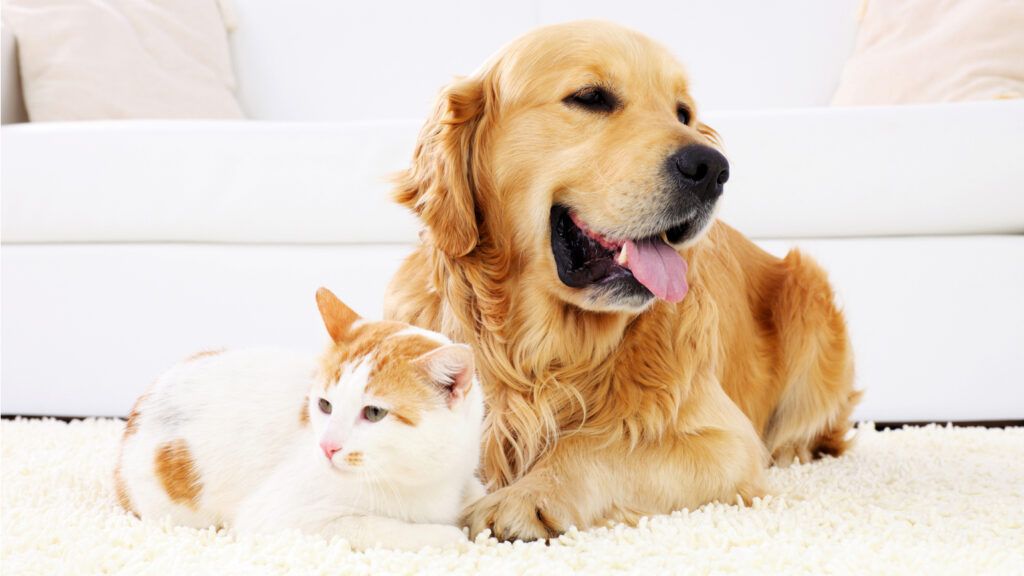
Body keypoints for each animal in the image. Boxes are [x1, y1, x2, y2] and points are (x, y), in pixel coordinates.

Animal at [116, 286, 483, 545]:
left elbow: (477, 491)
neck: (424, 478)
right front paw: (449, 535)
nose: (327, 447)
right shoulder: (281, 518)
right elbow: (376, 527)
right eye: (325, 405)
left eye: (374, 412)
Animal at [380, 19, 860, 537]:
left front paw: (525, 497)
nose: (712, 168)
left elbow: (593, 445)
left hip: (808, 289)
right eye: (591, 97)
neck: (545, 353)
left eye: (683, 113)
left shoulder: (725, 441)